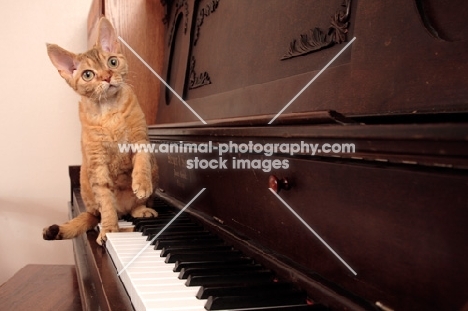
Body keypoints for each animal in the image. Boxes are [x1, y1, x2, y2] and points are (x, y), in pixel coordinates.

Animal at [43, 17, 158, 246]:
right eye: (88, 75)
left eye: (112, 62)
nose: (107, 77)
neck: (109, 111)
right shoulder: (97, 162)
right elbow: (105, 200)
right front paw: (109, 229)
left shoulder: (140, 139)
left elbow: (141, 161)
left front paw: (141, 182)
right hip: (87, 186)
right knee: (99, 214)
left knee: (134, 207)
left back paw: (141, 208)